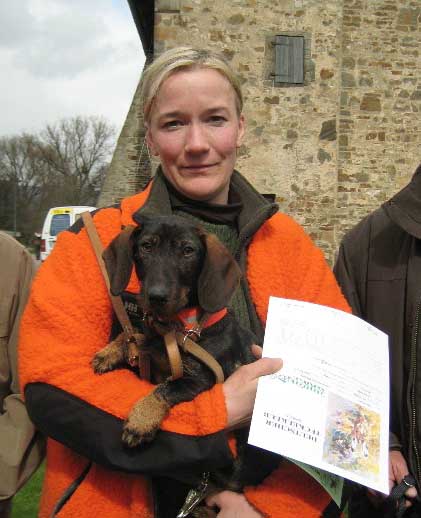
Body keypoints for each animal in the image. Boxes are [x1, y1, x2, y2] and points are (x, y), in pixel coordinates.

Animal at [91, 214, 279, 514]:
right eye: (146, 246)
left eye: (188, 250)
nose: (156, 296)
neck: (178, 328)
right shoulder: (152, 348)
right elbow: (138, 336)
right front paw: (110, 351)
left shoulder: (201, 379)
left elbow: (164, 389)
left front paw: (140, 420)